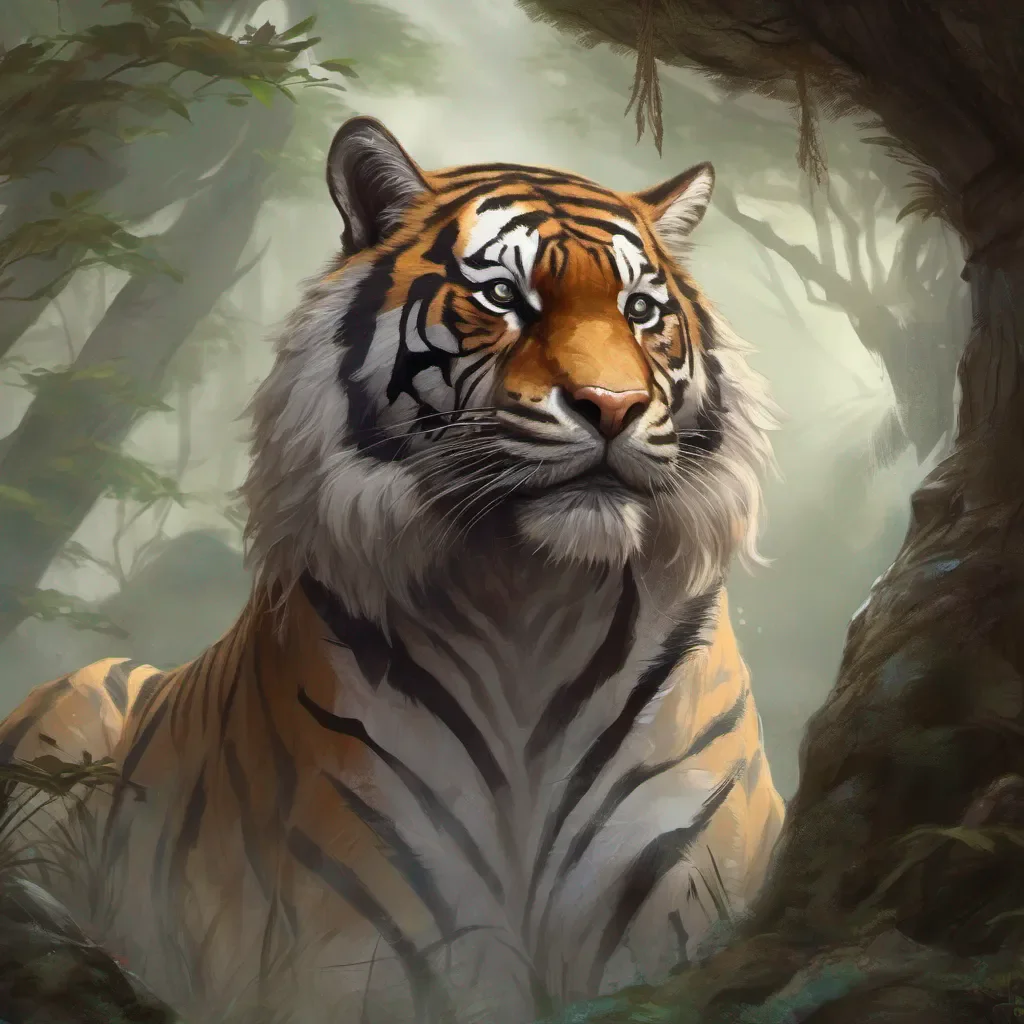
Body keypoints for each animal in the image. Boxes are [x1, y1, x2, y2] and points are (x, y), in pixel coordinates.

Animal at [0, 116, 785, 1024]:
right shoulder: (367, 934)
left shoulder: (686, 889)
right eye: (504, 298)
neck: (537, 600)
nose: (614, 407)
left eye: (642, 310)